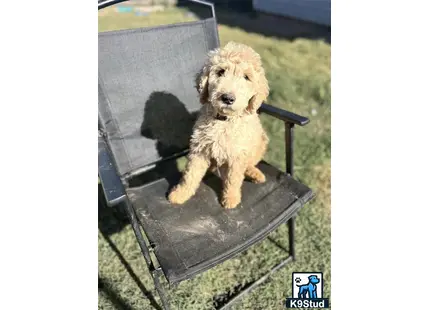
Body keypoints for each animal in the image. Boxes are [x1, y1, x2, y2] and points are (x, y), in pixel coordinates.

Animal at [168, 41, 268, 209]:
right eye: (220, 72)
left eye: (246, 77)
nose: (227, 98)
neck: (223, 120)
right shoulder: (199, 148)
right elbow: (190, 175)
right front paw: (180, 194)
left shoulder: (237, 155)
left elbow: (233, 179)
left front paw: (231, 199)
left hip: (260, 142)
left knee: (249, 164)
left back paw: (254, 174)